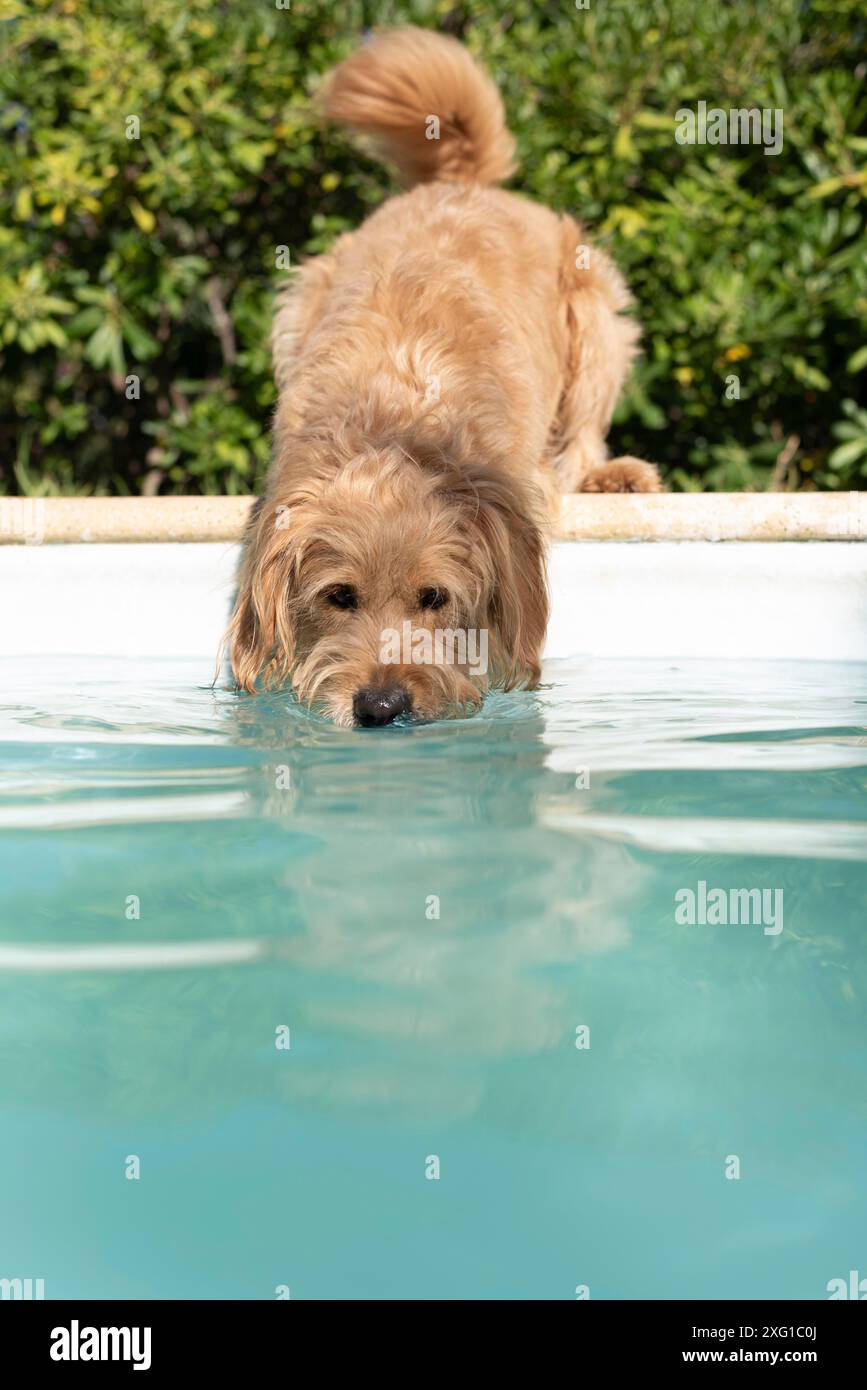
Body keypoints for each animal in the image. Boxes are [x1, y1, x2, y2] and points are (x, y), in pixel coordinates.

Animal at [226, 24, 661, 728]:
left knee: (583, 437)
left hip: (597, 311)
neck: (394, 426)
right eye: (339, 596)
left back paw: (612, 475)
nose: (381, 704)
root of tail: (459, 180)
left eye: (435, 597)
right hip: (298, 302)